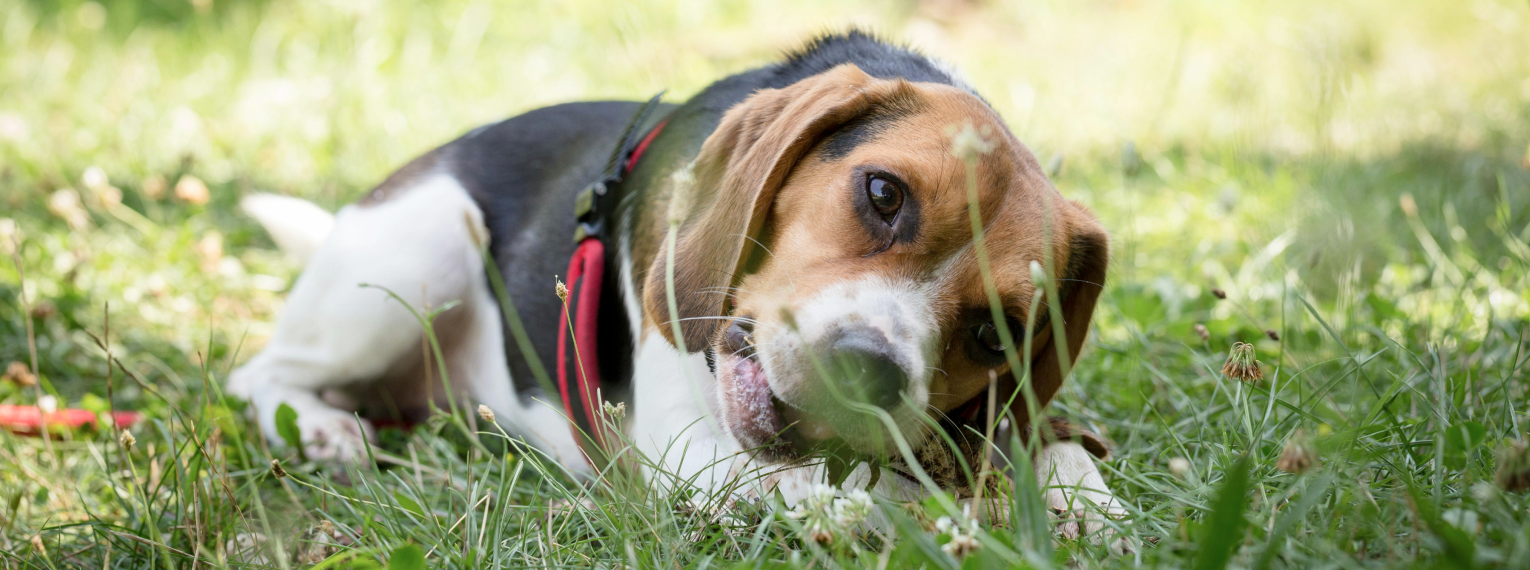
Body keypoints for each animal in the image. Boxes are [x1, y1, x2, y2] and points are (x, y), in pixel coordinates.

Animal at [235, 31, 1126, 534]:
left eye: (995, 335)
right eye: (883, 193)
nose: (867, 371)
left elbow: (1047, 451)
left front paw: (1086, 505)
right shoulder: (686, 451)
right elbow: (871, 497)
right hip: (422, 253)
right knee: (259, 374)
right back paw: (324, 429)